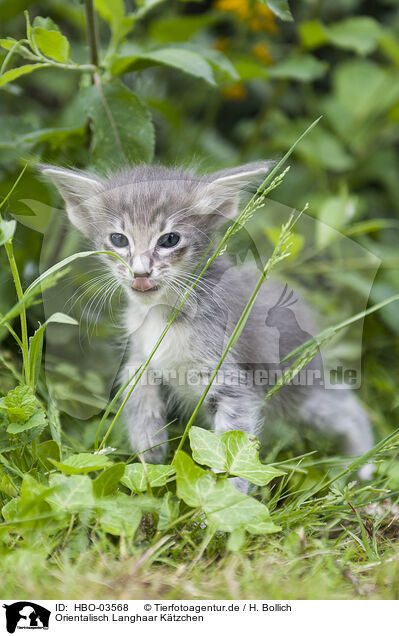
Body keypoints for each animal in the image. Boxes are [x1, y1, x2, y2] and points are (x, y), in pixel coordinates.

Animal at [41, 163, 376, 482]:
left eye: (169, 240)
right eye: (118, 239)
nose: (140, 273)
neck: (163, 315)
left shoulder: (232, 384)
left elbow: (233, 454)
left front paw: (221, 498)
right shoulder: (140, 355)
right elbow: (135, 386)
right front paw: (149, 448)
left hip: (297, 388)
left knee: (346, 404)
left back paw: (362, 465)